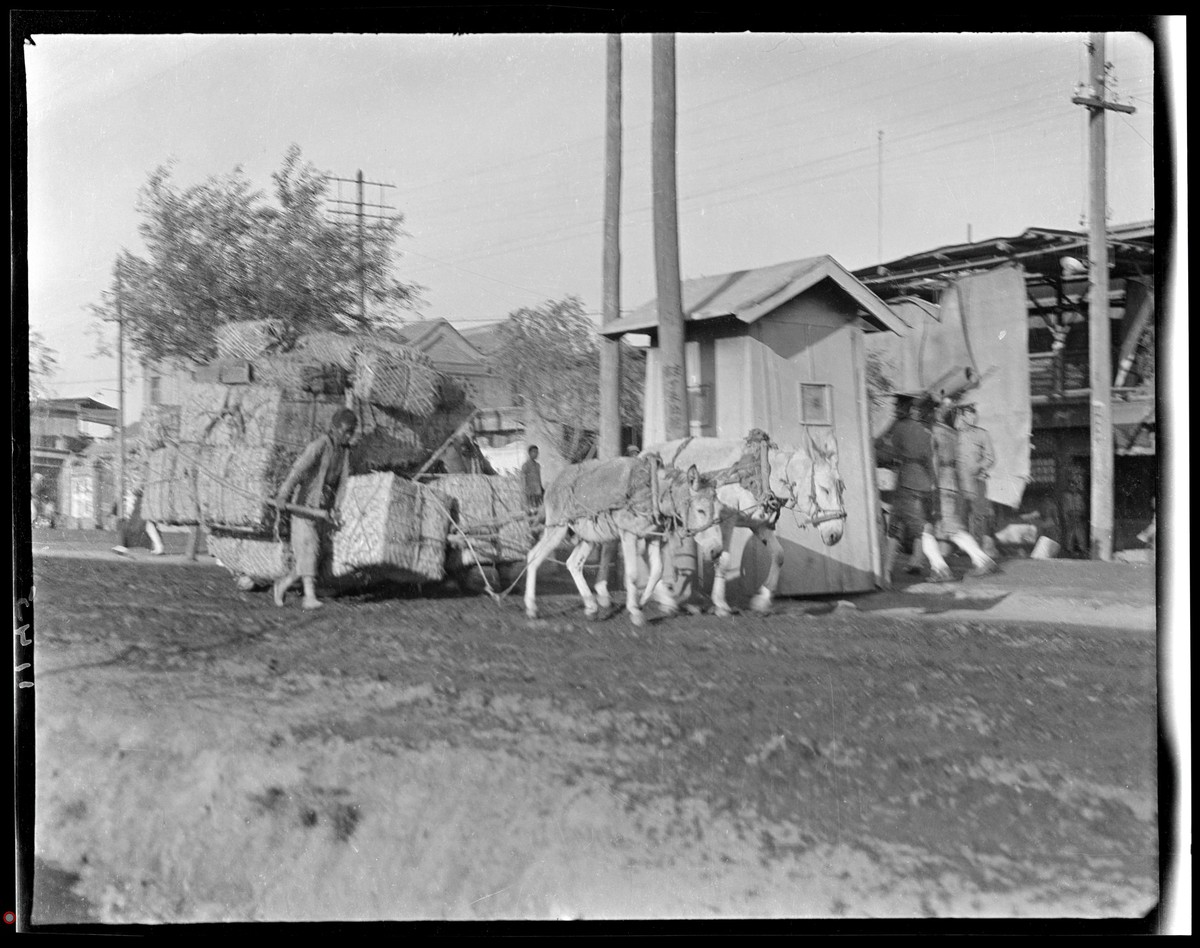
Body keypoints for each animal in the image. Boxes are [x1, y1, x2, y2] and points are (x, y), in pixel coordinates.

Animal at [523, 456, 720, 628]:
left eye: (719, 510)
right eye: (701, 510)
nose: (716, 551)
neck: (653, 492)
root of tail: (552, 484)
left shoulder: (653, 537)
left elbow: (657, 571)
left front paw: (642, 602)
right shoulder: (628, 535)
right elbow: (632, 574)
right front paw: (635, 612)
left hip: (589, 538)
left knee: (573, 563)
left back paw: (591, 608)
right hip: (557, 529)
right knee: (534, 556)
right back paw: (532, 608)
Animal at [633, 429, 849, 614]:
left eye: (841, 488)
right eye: (824, 489)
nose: (836, 534)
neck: (761, 471)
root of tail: (641, 454)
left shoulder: (759, 524)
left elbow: (779, 555)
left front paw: (762, 599)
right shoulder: (725, 521)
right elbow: (723, 559)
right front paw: (720, 604)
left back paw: (663, 597)